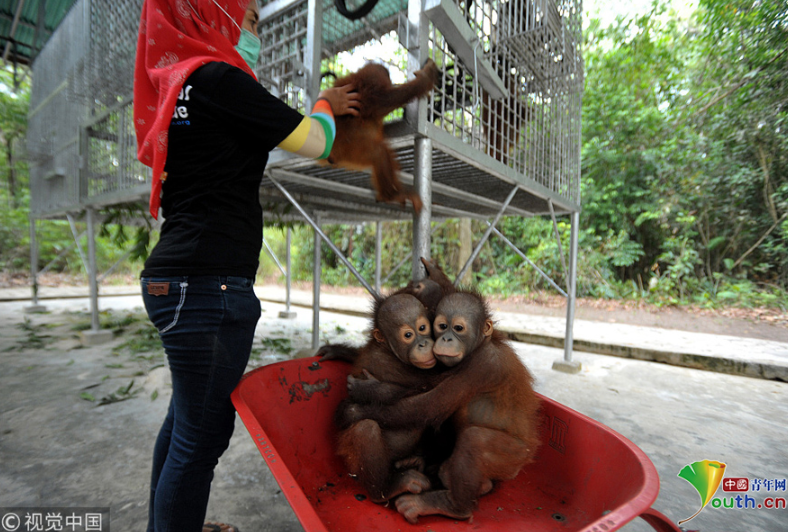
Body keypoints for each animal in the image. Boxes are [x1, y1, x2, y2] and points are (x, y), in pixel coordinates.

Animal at [326, 60, 439, 212]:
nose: (391, 83)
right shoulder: (373, 76)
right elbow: (379, 100)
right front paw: (426, 78)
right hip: (348, 149)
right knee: (378, 152)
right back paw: (392, 195)